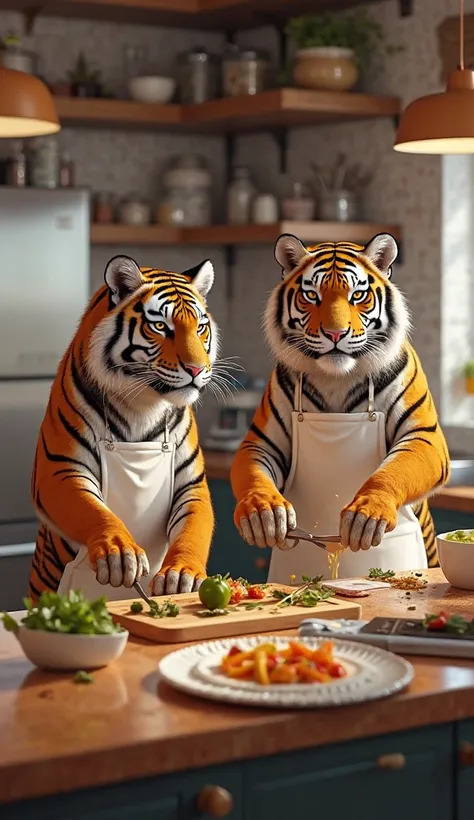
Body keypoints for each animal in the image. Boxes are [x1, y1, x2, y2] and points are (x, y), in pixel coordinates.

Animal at [30, 251, 219, 604]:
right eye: (160, 326)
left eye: (200, 327)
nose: (197, 369)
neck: (142, 404)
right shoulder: (61, 470)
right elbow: (96, 512)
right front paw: (119, 553)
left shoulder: (192, 483)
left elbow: (193, 530)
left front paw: (181, 574)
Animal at [231, 231, 450, 564]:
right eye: (312, 296)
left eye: (357, 296)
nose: (335, 334)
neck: (337, 377)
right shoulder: (260, 441)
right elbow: (255, 476)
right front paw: (263, 512)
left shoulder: (425, 437)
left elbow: (389, 474)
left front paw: (367, 513)